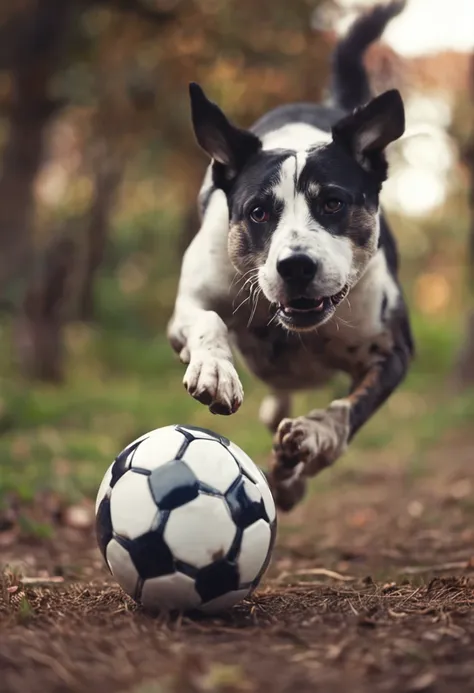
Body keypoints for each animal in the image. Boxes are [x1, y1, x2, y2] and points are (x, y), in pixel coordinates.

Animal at [168, 0, 412, 508]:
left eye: (334, 203)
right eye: (258, 211)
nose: (296, 265)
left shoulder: (394, 349)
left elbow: (352, 408)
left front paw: (317, 434)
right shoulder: (189, 304)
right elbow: (207, 319)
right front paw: (215, 370)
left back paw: (291, 471)